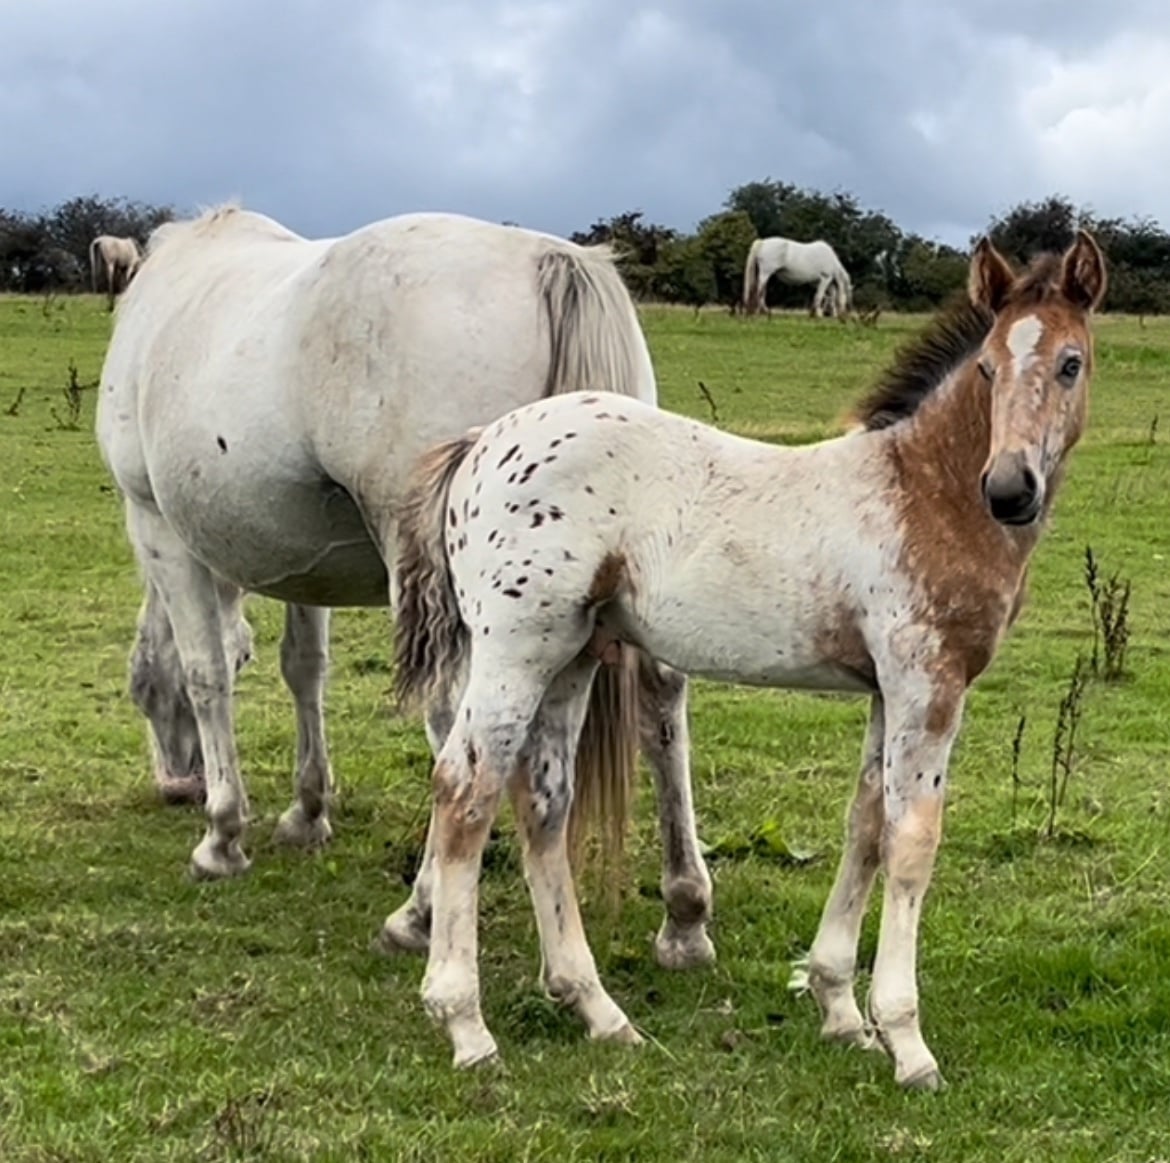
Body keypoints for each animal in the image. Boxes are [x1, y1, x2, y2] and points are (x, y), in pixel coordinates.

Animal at [95, 204, 715, 972]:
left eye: (140, 694)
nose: (176, 784)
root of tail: (549, 260)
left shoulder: (157, 528)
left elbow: (205, 672)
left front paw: (222, 835)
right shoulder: (303, 564)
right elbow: (305, 670)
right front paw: (307, 811)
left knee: (456, 728)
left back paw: (419, 912)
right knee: (661, 699)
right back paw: (684, 913)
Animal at [393, 231, 1106, 1083]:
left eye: (1070, 362)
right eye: (990, 368)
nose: (1008, 489)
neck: (924, 492)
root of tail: (480, 444)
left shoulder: (885, 690)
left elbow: (865, 824)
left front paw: (839, 1008)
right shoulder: (928, 683)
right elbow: (912, 841)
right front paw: (906, 1039)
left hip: (571, 656)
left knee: (542, 801)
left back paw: (597, 1009)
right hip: (514, 651)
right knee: (465, 791)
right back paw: (465, 1023)